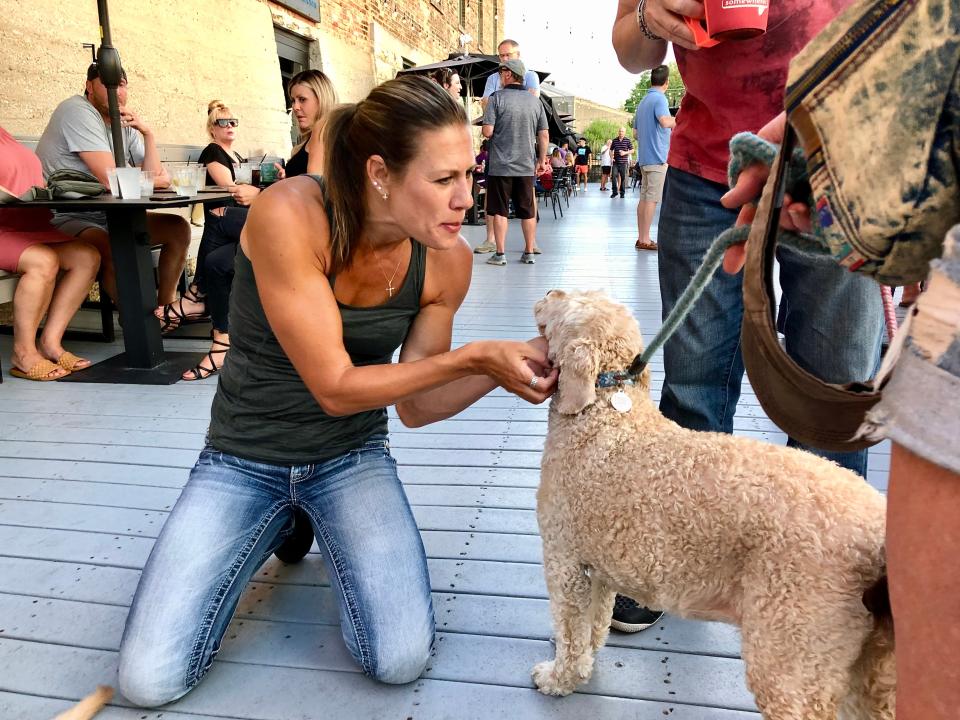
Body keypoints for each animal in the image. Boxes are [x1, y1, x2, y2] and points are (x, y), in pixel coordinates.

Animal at [532, 292, 892, 720]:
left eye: (568, 301)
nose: (547, 293)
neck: (604, 414)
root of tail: (878, 529)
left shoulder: (565, 561)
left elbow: (571, 631)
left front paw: (559, 678)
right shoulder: (600, 569)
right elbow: (595, 625)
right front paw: (585, 664)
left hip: (792, 645)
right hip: (867, 656)